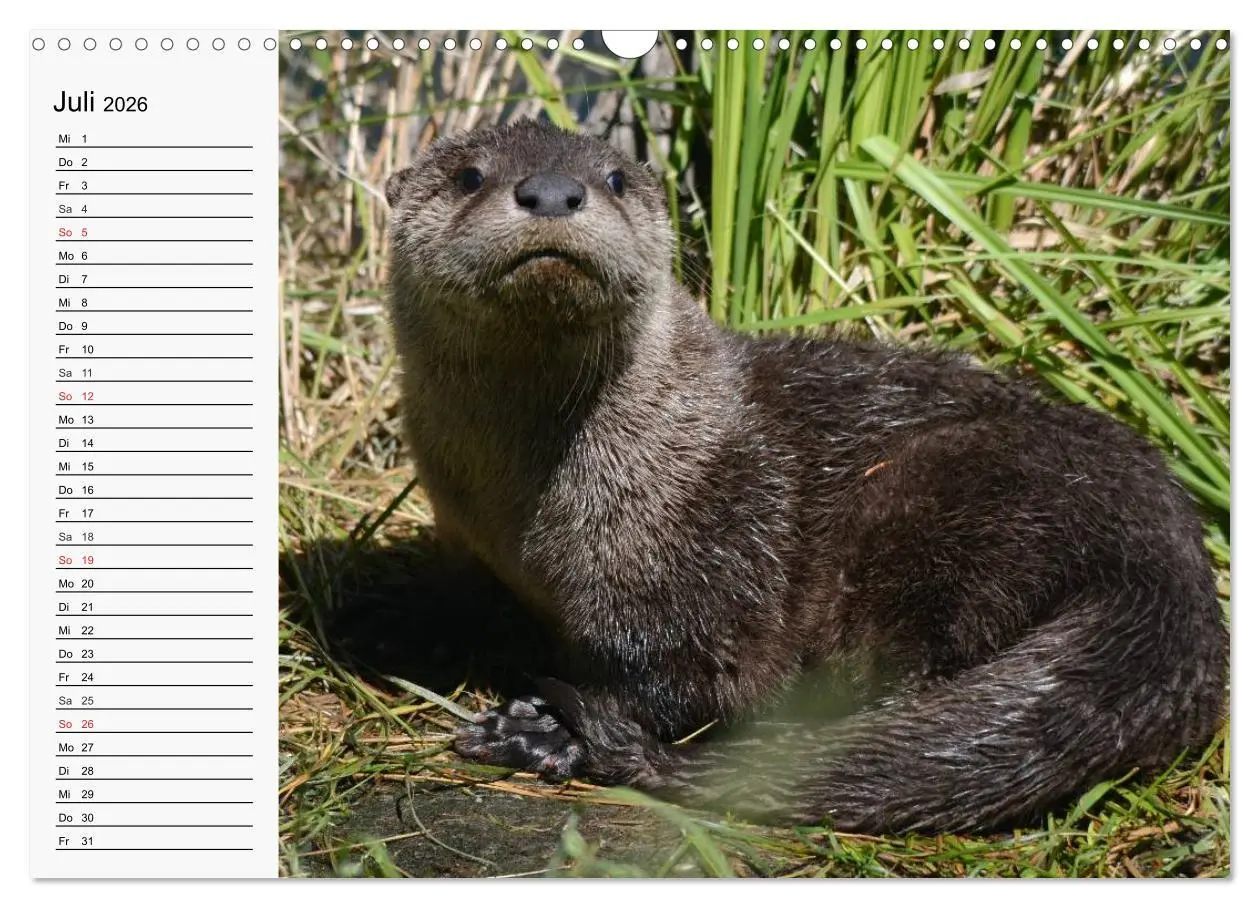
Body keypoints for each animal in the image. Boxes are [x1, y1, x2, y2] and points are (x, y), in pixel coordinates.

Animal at [383, 119, 1227, 832]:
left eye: (616, 178)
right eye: (468, 175)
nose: (555, 191)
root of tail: (1168, 568)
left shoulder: (707, 557)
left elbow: (687, 679)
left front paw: (545, 727)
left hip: (949, 499)